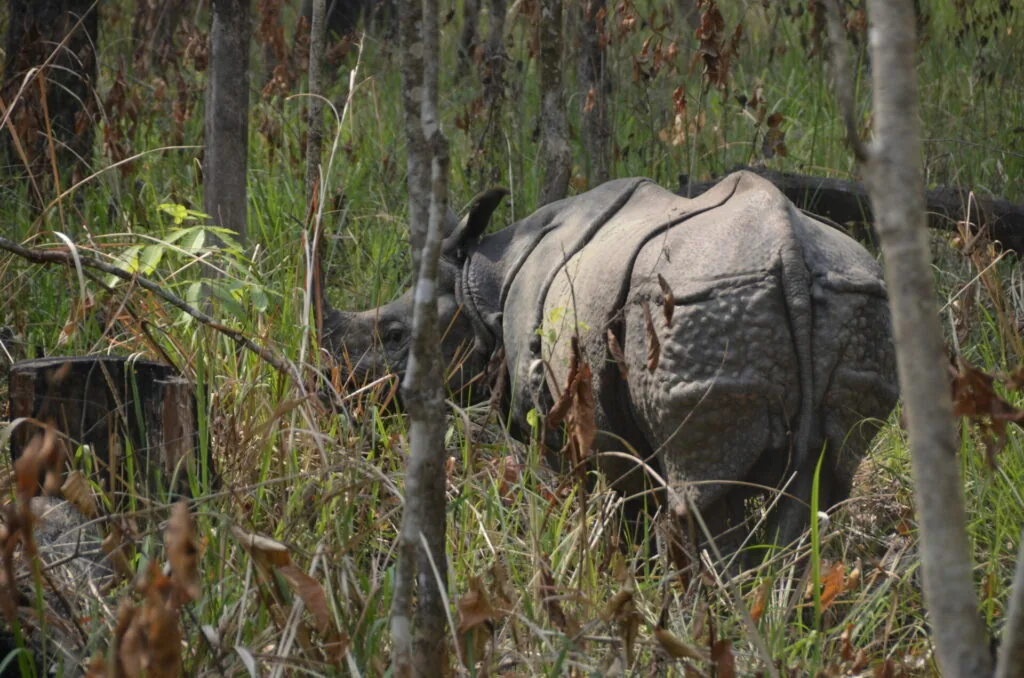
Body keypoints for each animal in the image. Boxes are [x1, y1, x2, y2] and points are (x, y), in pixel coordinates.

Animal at [322, 170, 899, 555]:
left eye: (395, 335)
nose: (332, 394)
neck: (481, 281)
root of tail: (791, 254)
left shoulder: (560, 418)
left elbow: (593, 493)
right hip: (856, 298)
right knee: (824, 483)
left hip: (700, 304)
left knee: (702, 494)